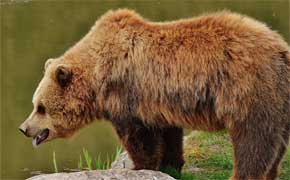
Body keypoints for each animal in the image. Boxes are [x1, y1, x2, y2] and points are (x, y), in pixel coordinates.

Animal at [19, 9, 288, 179]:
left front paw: (139, 167)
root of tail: (280, 47)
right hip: (279, 99)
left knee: (252, 142)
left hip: (248, 90)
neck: (98, 79)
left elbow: (140, 138)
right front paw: (170, 165)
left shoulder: (128, 96)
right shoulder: (161, 101)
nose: (24, 128)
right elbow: (169, 136)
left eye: (40, 107)